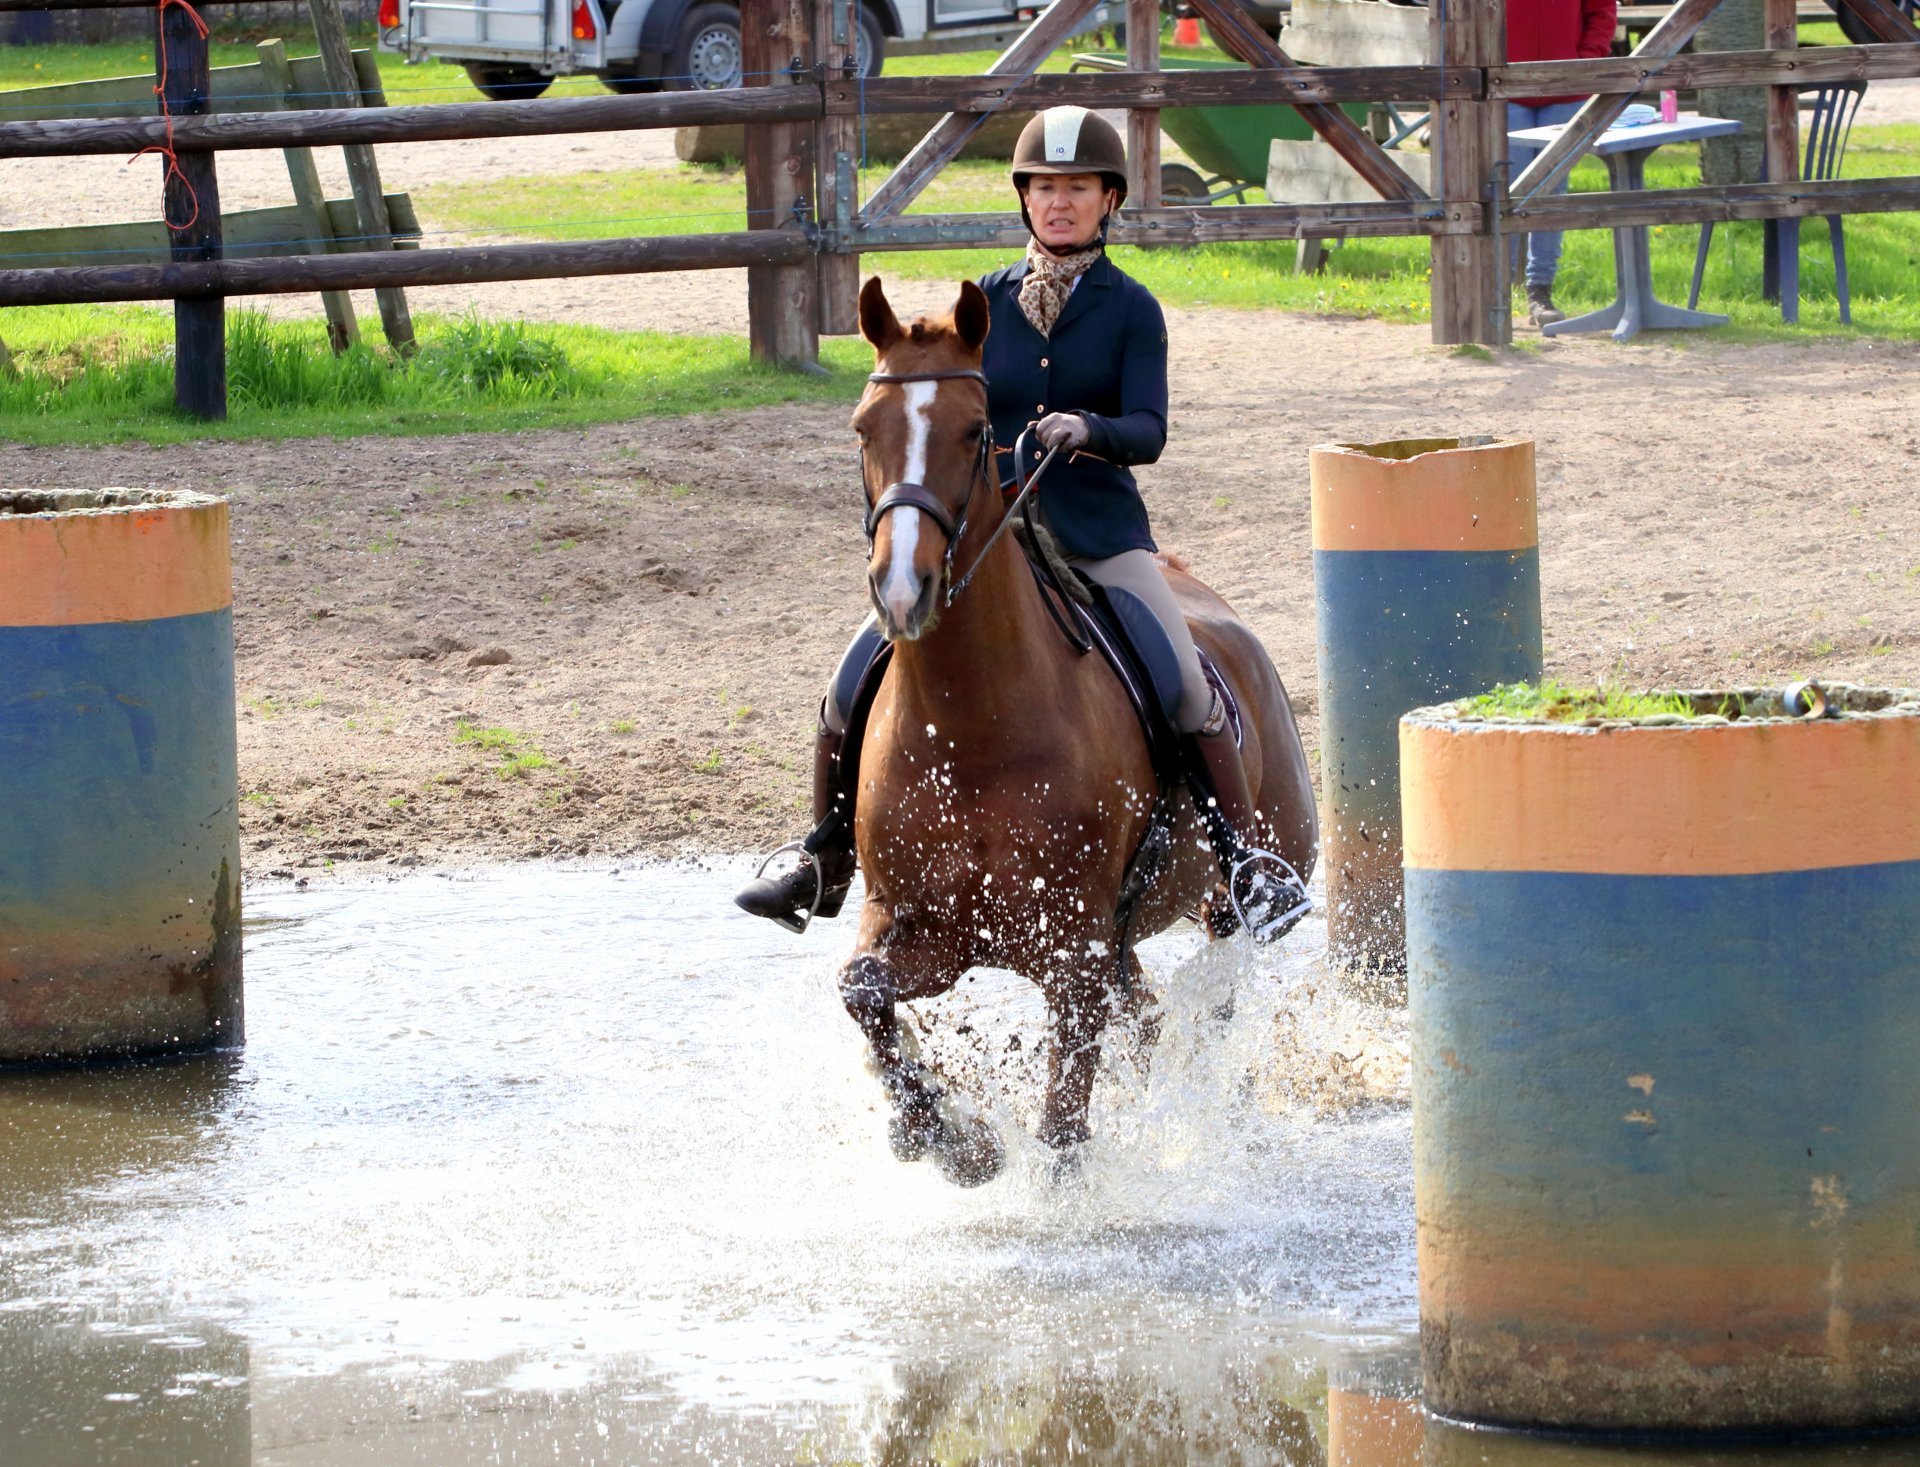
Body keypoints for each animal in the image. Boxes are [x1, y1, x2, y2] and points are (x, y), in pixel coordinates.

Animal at [844, 280, 1313, 1182]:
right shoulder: (920, 925)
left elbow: (1063, 1128)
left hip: (1248, 883)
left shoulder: (1073, 955)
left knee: (1219, 980)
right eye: (862, 428)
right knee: (1154, 1015)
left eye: (975, 430)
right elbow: (863, 989)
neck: (972, 729)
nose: (902, 589)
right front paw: (947, 1135)